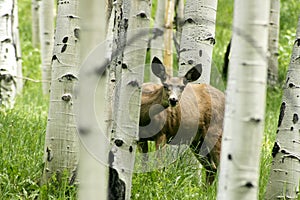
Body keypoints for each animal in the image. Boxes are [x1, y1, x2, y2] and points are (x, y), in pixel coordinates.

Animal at [137, 56, 224, 184]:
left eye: (182, 87)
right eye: (165, 85)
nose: (173, 100)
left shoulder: (162, 133)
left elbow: (159, 165)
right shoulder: (140, 138)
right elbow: (144, 164)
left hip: (215, 132)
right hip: (197, 141)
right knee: (211, 167)